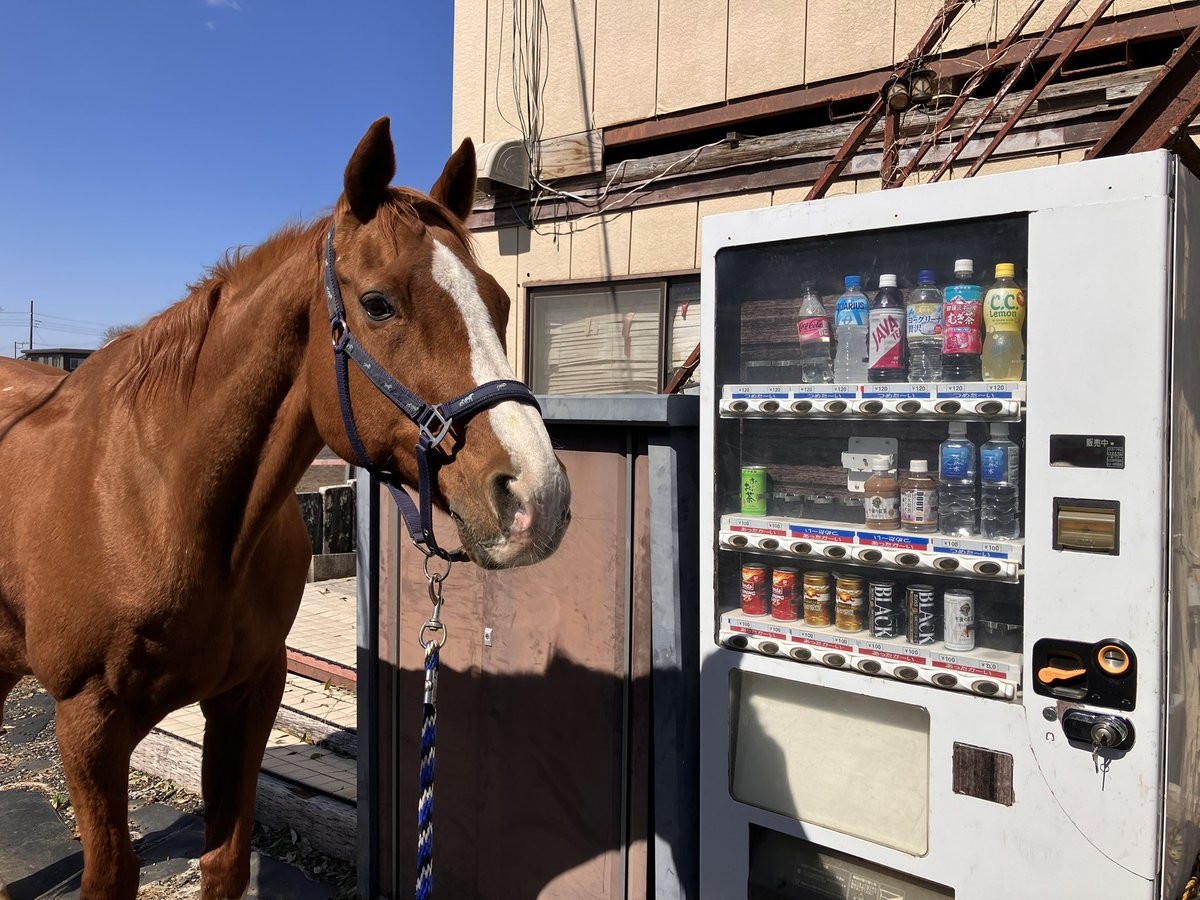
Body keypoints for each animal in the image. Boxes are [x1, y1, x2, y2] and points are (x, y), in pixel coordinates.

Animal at [0, 117, 571, 899]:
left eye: (500, 302)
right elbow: (112, 874)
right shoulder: (86, 722)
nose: (537, 494)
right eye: (378, 303)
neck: (161, 502)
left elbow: (225, 860)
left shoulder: (249, 693)